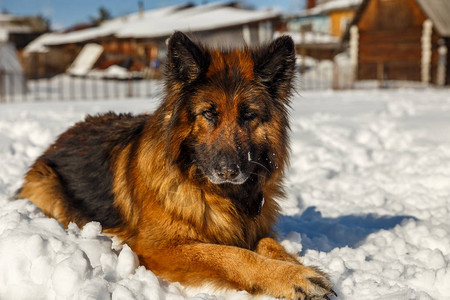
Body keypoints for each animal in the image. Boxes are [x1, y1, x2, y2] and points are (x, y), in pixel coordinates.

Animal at [17, 31, 336, 298]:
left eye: (248, 115)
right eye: (209, 114)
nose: (228, 171)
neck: (217, 192)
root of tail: (59, 138)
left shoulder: (255, 226)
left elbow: (271, 244)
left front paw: (295, 264)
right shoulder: (159, 247)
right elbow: (231, 255)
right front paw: (290, 276)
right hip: (50, 189)